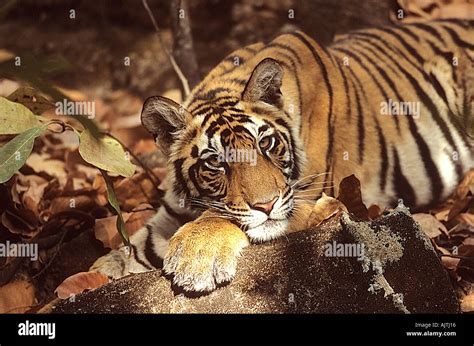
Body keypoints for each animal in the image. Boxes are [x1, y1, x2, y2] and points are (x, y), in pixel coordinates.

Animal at [90, 19, 474, 292]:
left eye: (266, 144)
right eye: (215, 162)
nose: (267, 204)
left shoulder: (307, 196)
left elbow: (226, 217)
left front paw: (196, 254)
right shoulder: (165, 219)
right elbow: (124, 254)